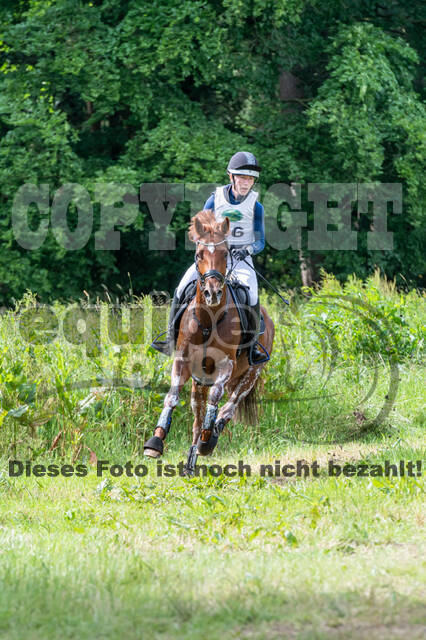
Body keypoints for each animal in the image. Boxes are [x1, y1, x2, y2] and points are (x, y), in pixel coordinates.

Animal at [144, 210, 275, 474]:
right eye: (198, 254)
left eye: (225, 253)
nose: (212, 293)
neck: (209, 320)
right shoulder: (182, 361)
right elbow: (173, 396)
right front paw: (155, 442)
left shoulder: (226, 365)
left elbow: (216, 398)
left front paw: (207, 437)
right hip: (200, 380)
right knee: (197, 414)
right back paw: (191, 460)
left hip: (250, 375)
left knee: (227, 408)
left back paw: (209, 439)